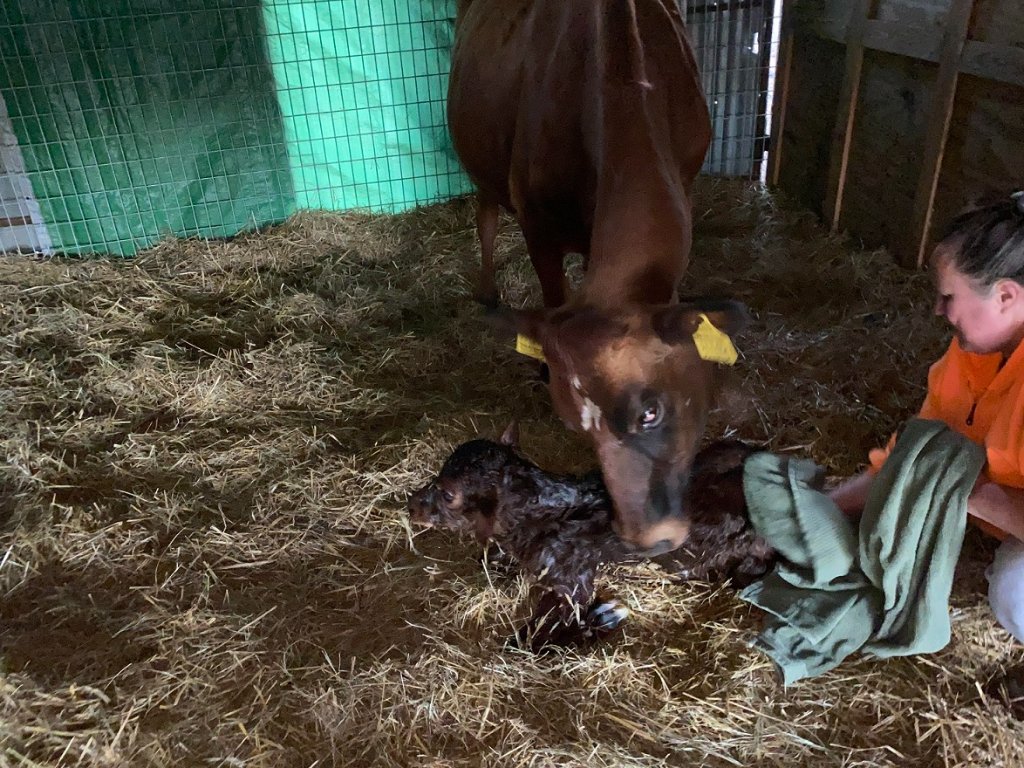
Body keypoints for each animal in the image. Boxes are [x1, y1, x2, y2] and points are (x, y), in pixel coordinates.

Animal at [447, 0, 744, 553]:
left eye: (650, 412)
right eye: (576, 428)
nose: (646, 540)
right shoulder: (538, 225)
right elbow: (549, 294)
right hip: (484, 170)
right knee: (485, 213)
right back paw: (487, 290)